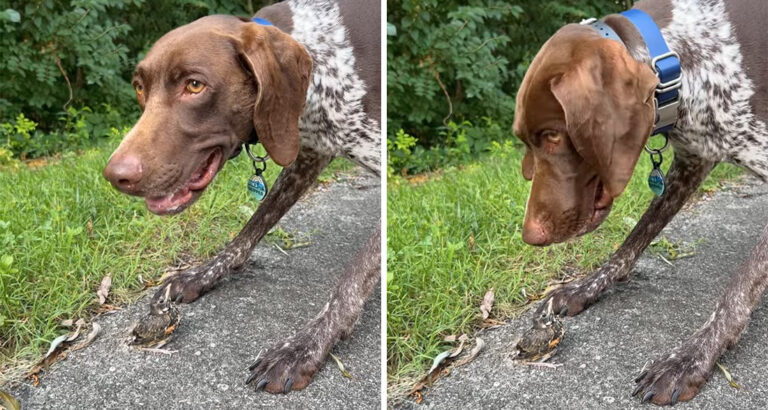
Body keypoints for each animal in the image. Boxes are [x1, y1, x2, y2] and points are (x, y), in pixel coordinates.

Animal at [103, 0, 380, 398]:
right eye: (140, 88)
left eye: (195, 85)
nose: (115, 176)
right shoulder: (309, 153)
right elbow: (255, 223)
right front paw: (202, 275)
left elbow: (354, 279)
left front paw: (304, 347)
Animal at [516, 0, 768, 406]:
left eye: (553, 135)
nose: (530, 237)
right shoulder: (692, 161)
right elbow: (635, 238)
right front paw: (585, 287)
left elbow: (740, 289)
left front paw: (691, 358)